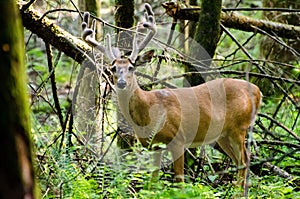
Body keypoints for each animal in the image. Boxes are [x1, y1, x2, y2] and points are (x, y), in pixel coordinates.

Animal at [81, 3, 262, 191]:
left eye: (131, 67)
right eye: (113, 68)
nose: (122, 83)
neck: (149, 111)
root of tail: (257, 91)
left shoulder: (178, 140)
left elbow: (180, 181)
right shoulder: (154, 146)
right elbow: (152, 183)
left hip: (239, 127)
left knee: (245, 159)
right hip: (223, 135)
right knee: (239, 162)